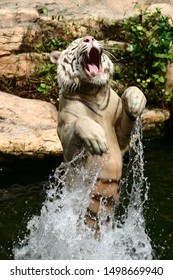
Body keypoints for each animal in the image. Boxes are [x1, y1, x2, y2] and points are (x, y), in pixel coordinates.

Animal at [50, 36, 146, 235]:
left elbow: (132, 91)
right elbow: (80, 123)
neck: (93, 93)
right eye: (75, 43)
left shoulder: (120, 134)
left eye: (92, 38)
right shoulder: (70, 148)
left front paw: (135, 101)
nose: (90, 38)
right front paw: (98, 140)